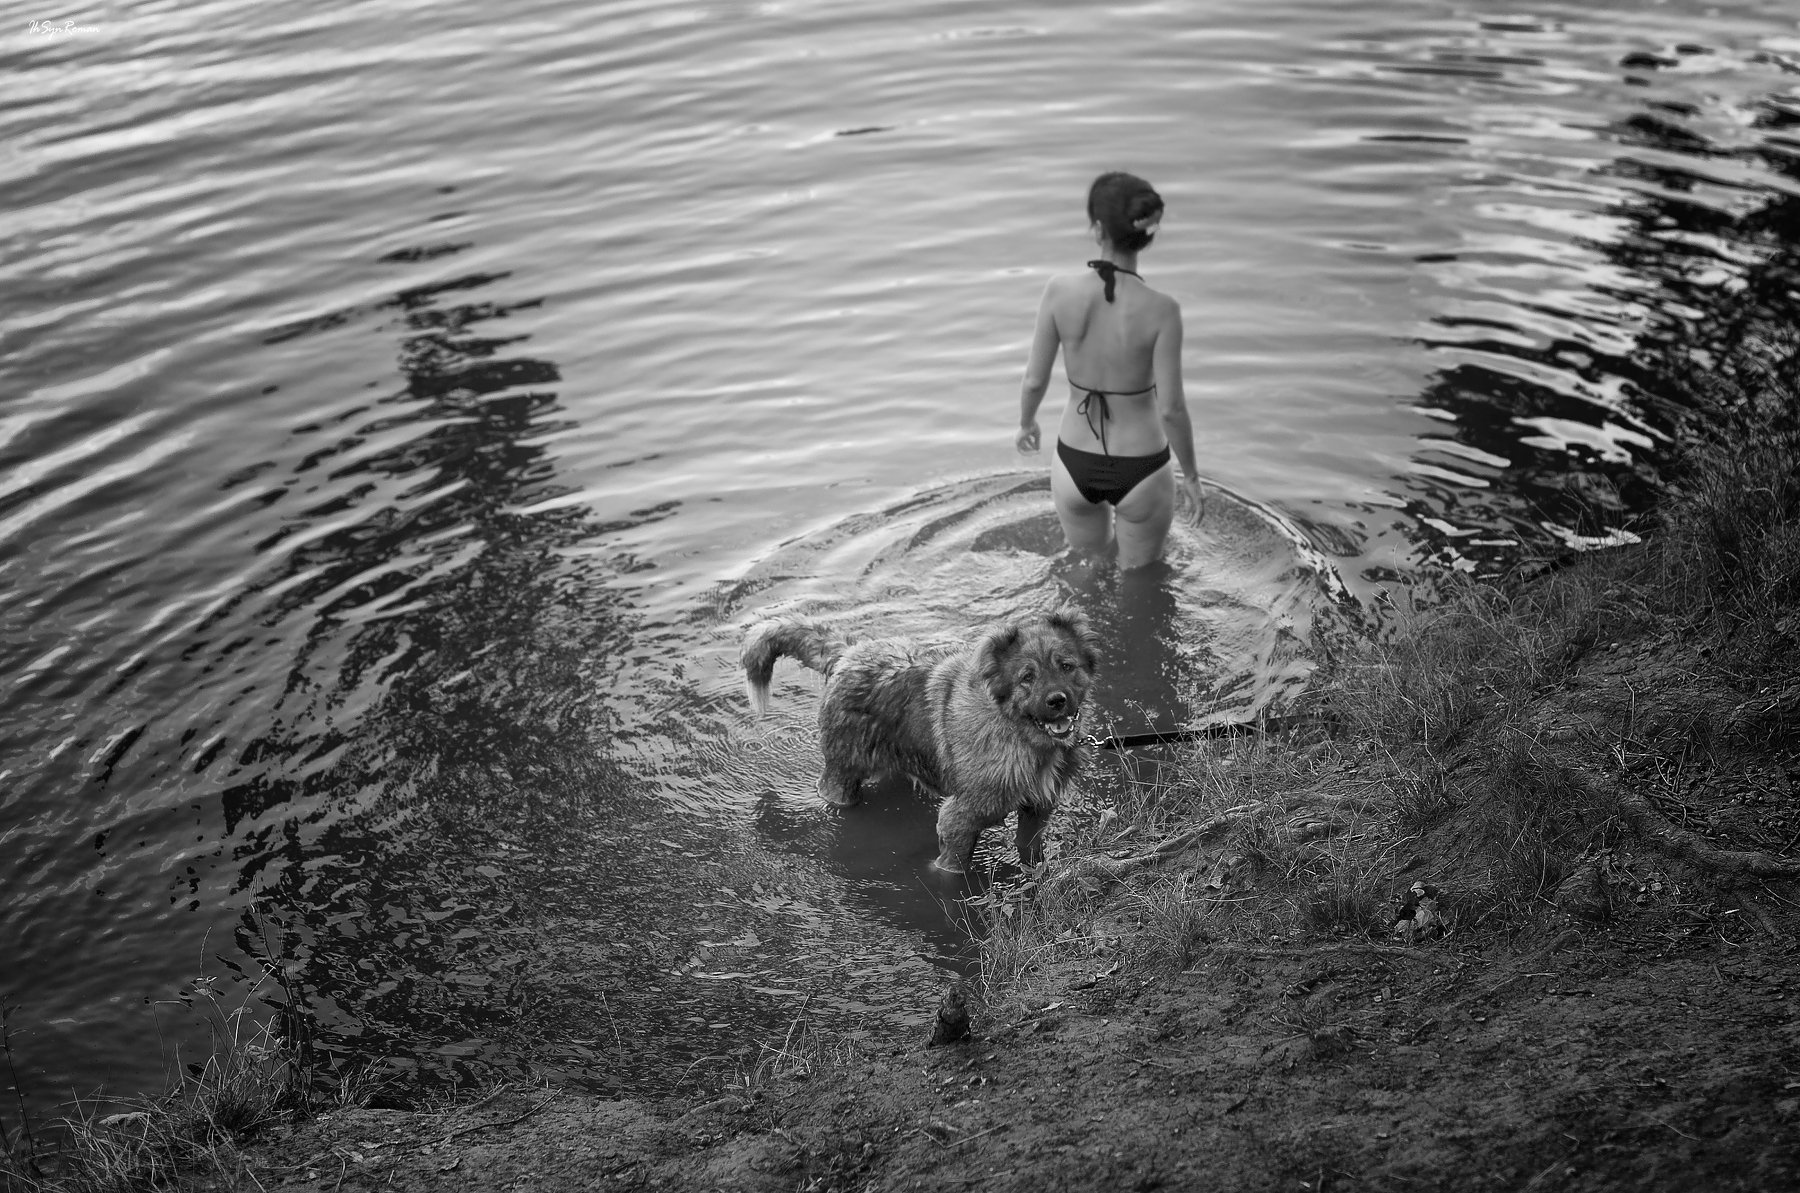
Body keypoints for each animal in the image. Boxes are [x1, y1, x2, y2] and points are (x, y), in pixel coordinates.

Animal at [741, 611, 1094, 874]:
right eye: (1027, 677)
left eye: (1067, 666)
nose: (1057, 700)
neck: (1022, 737)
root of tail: (849, 653)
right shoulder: (958, 820)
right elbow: (953, 870)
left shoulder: (1037, 810)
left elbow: (1029, 852)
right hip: (842, 774)